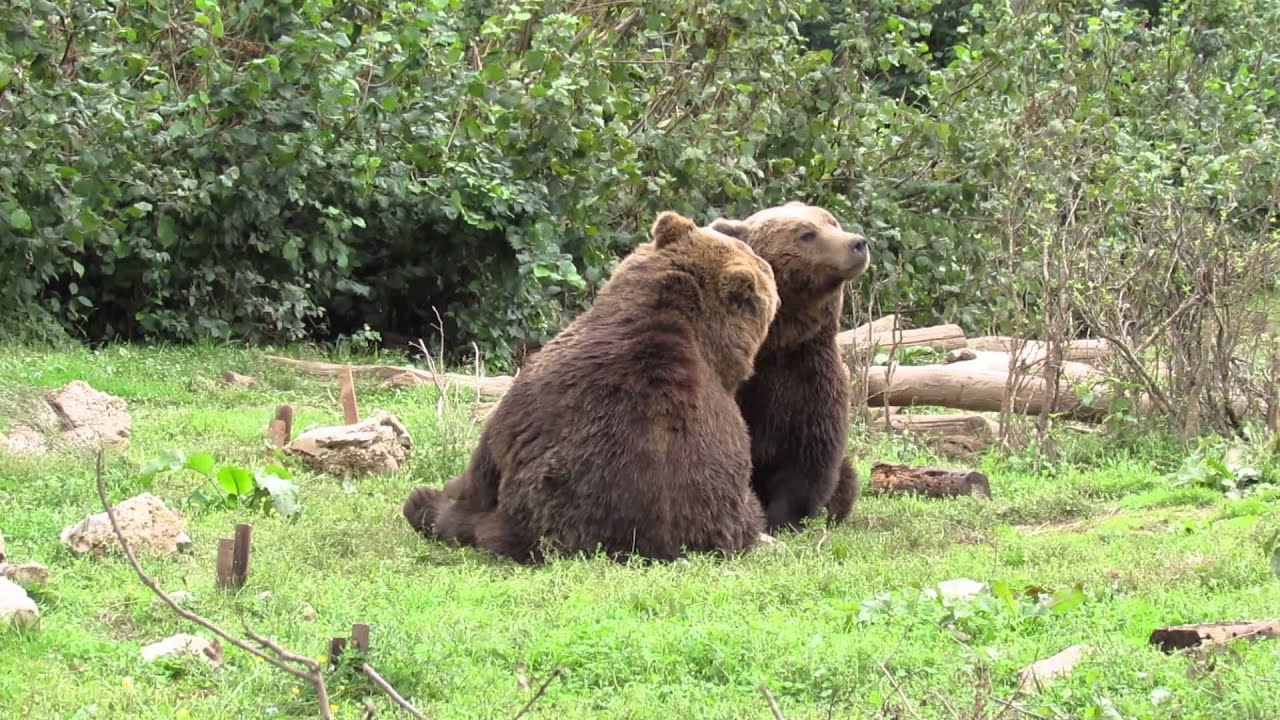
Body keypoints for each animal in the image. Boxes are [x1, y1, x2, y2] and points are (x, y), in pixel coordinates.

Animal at [709, 201, 871, 533]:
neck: (779, 345)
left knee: (846, 479)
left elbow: (807, 461)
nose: (857, 243)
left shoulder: (811, 382)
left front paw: (784, 520)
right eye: (806, 234)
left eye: (832, 222)